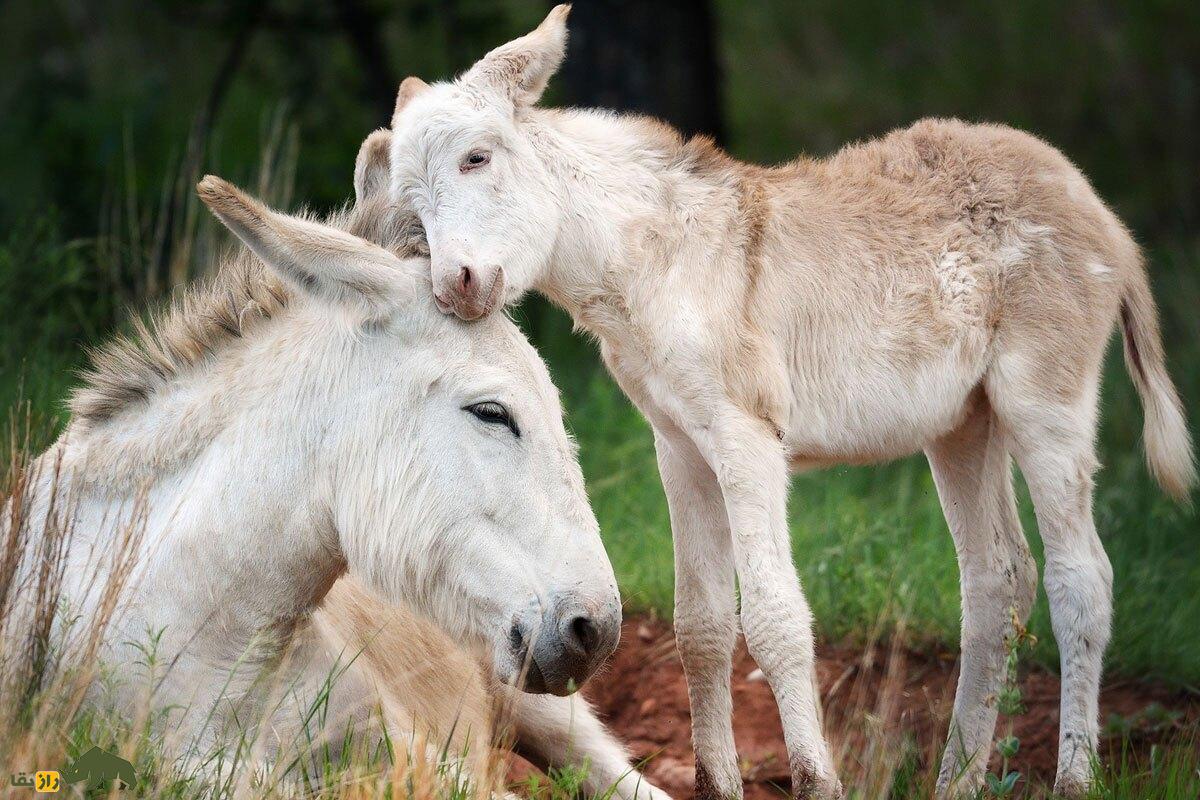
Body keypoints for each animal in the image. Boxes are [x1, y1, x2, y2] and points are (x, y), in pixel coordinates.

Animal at [381, 9, 1190, 796]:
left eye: (477, 158)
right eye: (411, 198)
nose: (454, 287)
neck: (649, 262)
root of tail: (1090, 199)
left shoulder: (746, 438)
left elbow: (774, 619)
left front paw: (815, 779)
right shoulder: (679, 446)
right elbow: (701, 626)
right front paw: (719, 783)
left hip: (1044, 405)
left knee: (1080, 578)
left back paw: (1074, 779)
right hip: (964, 425)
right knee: (997, 582)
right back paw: (958, 781)